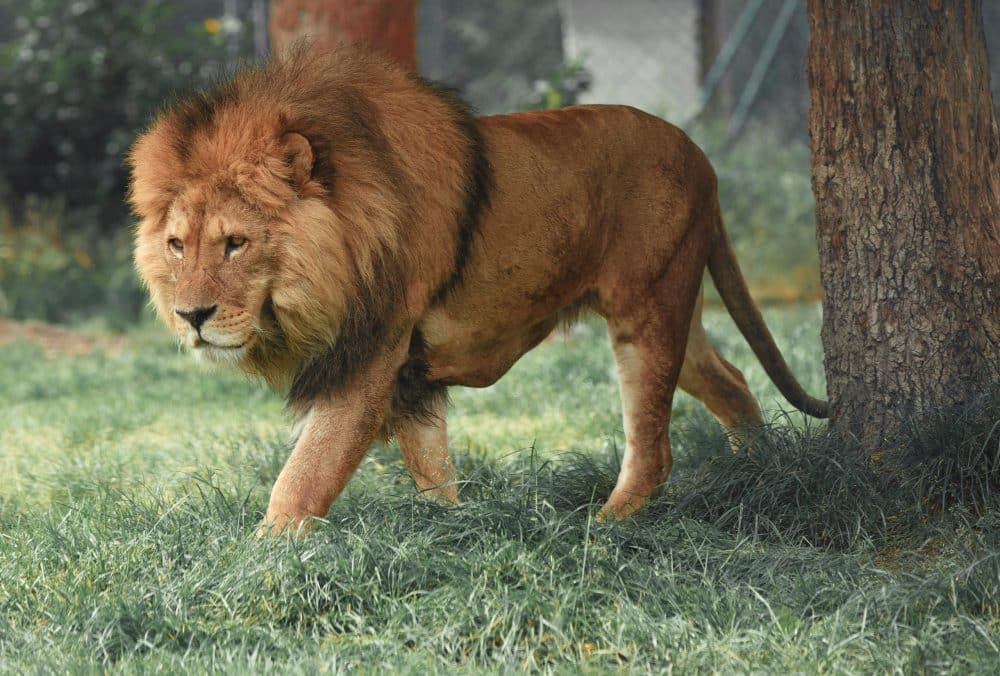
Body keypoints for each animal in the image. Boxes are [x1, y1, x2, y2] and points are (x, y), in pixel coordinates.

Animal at [129, 45, 827, 531]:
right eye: (177, 245)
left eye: (235, 243)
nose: (192, 316)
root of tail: (701, 156)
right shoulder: (408, 376)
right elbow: (432, 469)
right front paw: (456, 531)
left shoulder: (370, 356)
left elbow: (304, 477)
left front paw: (260, 561)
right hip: (674, 302)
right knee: (730, 378)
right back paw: (758, 473)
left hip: (647, 308)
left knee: (653, 447)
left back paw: (602, 530)